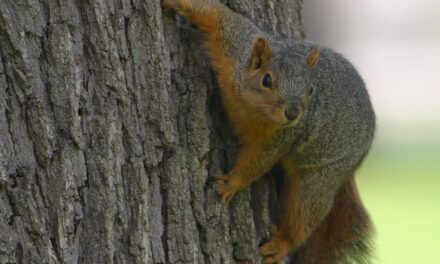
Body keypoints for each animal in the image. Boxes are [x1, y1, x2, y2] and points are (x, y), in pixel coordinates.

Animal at [163, 1, 376, 262]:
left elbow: (259, 161)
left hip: (321, 177)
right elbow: (218, 16)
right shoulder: (236, 45)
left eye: (310, 89)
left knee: (306, 215)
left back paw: (282, 244)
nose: (293, 113)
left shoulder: (281, 138)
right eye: (267, 80)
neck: (251, 107)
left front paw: (233, 182)